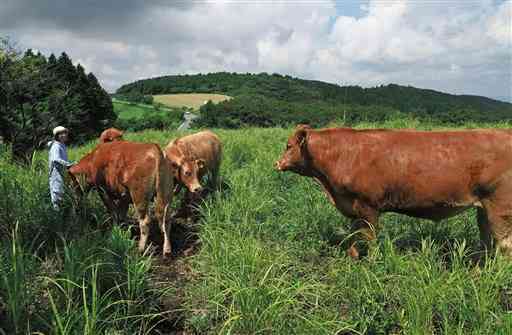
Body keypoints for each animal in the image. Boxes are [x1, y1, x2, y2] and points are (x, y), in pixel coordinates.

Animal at [278, 124, 512, 258]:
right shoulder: (353, 207)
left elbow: (370, 239)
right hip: (483, 207)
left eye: (288, 145)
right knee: (486, 240)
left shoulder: (368, 206)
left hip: (500, 207)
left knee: (504, 245)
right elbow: (354, 236)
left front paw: (371, 264)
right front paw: (352, 259)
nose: (277, 163)